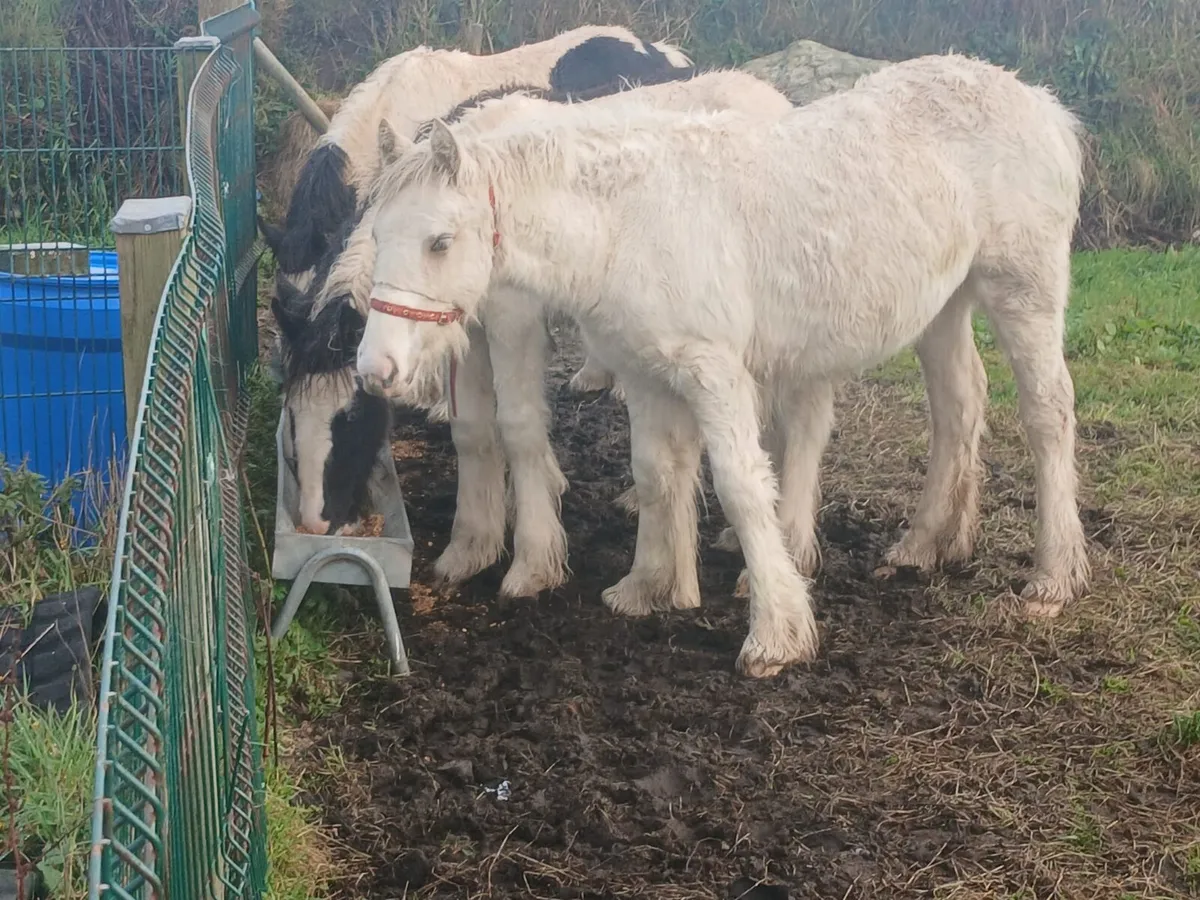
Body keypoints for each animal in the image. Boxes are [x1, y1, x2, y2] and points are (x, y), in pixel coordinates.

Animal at [355, 53, 1092, 677]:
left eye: (440, 241)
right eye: (376, 235)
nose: (376, 365)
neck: (628, 223)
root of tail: (1041, 102)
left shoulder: (716, 374)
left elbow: (741, 485)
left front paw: (777, 633)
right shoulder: (646, 375)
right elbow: (656, 473)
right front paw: (647, 587)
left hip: (1022, 289)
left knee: (1048, 413)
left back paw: (1053, 577)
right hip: (943, 306)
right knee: (959, 405)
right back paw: (927, 545)